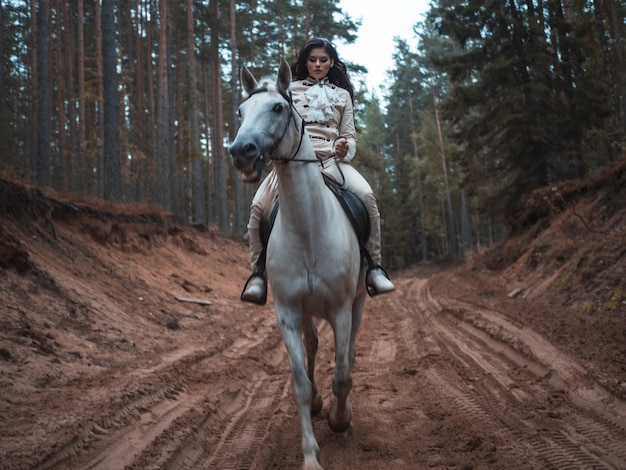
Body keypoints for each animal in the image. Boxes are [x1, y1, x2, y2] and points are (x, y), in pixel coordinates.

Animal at [228, 59, 366, 470]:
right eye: (240, 111)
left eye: (278, 108)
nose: (241, 150)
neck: (309, 227)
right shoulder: (287, 312)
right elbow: (300, 383)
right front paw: (310, 455)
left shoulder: (340, 309)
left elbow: (342, 374)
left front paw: (340, 420)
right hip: (306, 312)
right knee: (313, 346)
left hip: (357, 304)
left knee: (349, 352)